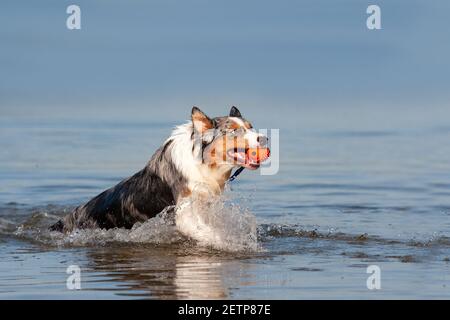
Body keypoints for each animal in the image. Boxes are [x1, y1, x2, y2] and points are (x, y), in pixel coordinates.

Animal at [50, 106, 268, 234]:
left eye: (251, 127)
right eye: (234, 131)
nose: (265, 138)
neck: (203, 162)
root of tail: (67, 219)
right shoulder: (184, 211)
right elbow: (206, 232)